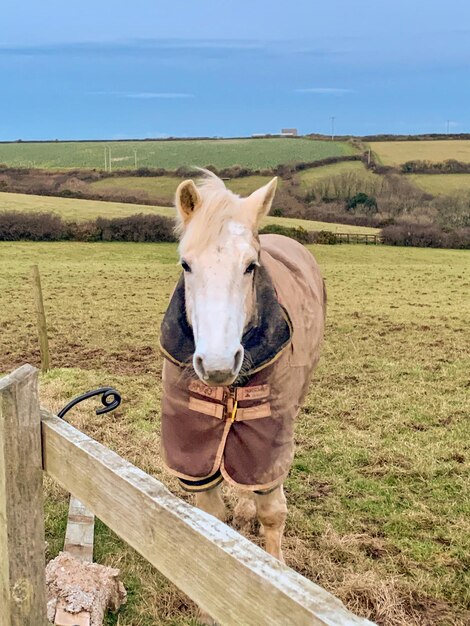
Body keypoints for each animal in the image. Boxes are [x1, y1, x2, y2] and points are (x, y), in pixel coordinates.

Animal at [160, 169, 324, 620]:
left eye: (250, 266)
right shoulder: (196, 451)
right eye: (186, 264)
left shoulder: (267, 446)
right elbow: (211, 518)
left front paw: (278, 578)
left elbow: (272, 512)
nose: (217, 364)